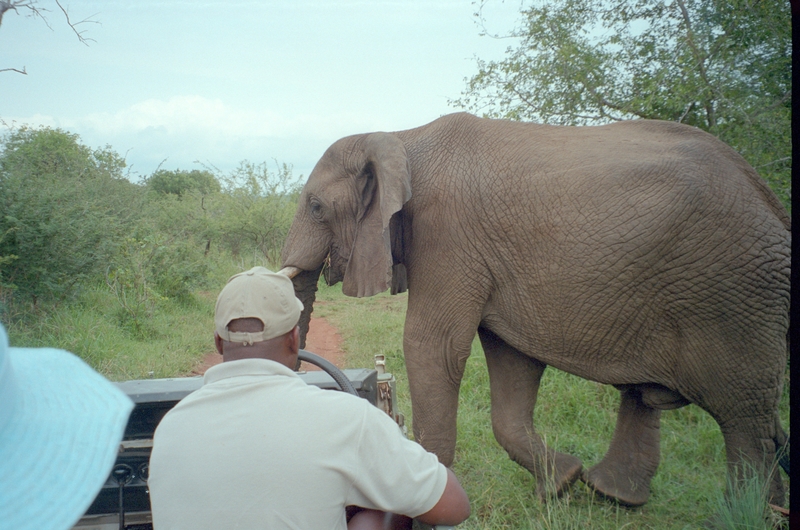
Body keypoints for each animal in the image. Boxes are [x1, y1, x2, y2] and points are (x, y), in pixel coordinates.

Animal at [278, 111, 792, 504]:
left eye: (317, 206)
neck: (402, 137)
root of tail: (767, 195)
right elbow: (512, 358)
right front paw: (560, 486)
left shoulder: (448, 234)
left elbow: (433, 346)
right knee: (658, 396)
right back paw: (616, 497)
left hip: (734, 290)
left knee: (743, 416)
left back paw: (743, 513)